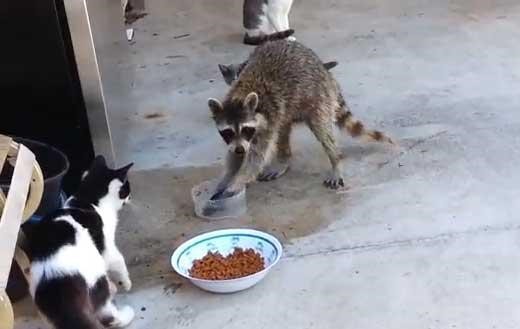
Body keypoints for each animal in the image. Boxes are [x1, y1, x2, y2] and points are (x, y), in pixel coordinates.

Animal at [28, 156, 135, 328]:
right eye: (127, 189)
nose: (130, 197)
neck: (88, 198)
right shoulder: (107, 248)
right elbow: (119, 261)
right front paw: (126, 282)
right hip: (95, 275)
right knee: (106, 313)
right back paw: (125, 314)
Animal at [206, 38, 390, 197]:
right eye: (228, 132)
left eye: (245, 129)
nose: (240, 149)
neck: (241, 93)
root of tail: (325, 70)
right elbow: (236, 155)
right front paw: (227, 177)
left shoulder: (268, 117)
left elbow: (256, 157)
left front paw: (237, 183)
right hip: (290, 108)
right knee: (284, 129)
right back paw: (284, 160)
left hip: (319, 97)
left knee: (322, 130)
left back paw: (335, 160)